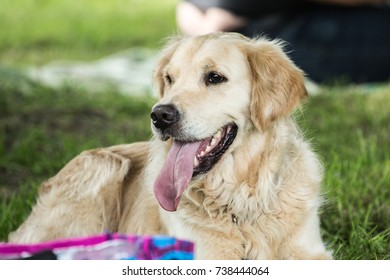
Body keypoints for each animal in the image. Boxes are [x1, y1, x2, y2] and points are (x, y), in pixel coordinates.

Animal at [8, 33, 332, 260]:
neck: (239, 201)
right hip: (103, 165)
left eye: (215, 77)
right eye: (169, 79)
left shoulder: (310, 252)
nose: (160, 115)